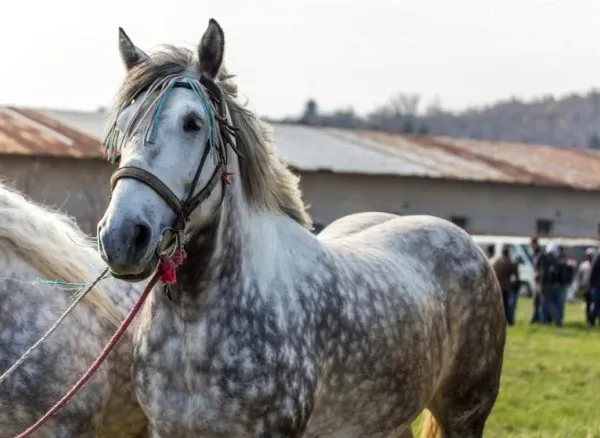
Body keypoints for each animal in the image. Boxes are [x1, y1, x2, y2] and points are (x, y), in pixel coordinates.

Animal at [97, 18, 506, 438]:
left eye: (193, 123)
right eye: (123, 125)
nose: (122, 237)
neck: (193, 328)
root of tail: (468, 245)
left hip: (465, 413)